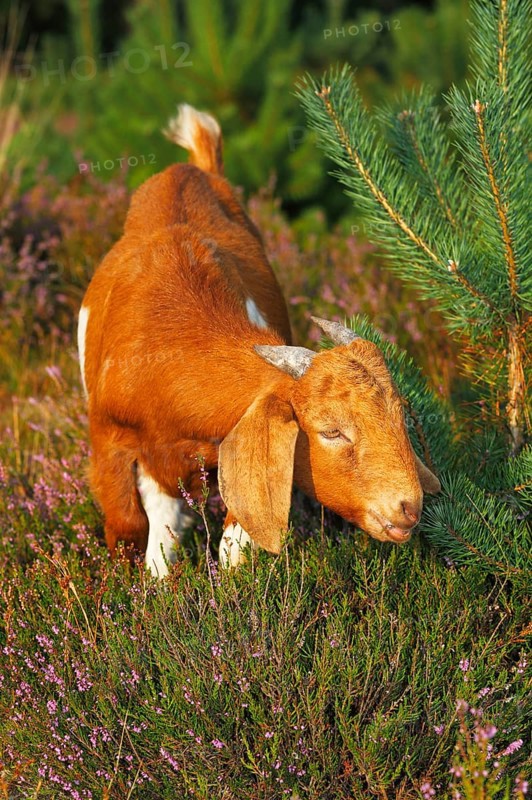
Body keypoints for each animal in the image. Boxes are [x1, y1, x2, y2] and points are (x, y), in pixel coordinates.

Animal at [78, 104, 440, 577]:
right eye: (331, 431)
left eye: (401, 415)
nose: (408, 507)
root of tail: (194, 167)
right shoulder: (110, 438)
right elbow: (132, 528)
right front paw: (149, 587)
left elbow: (233, 542)